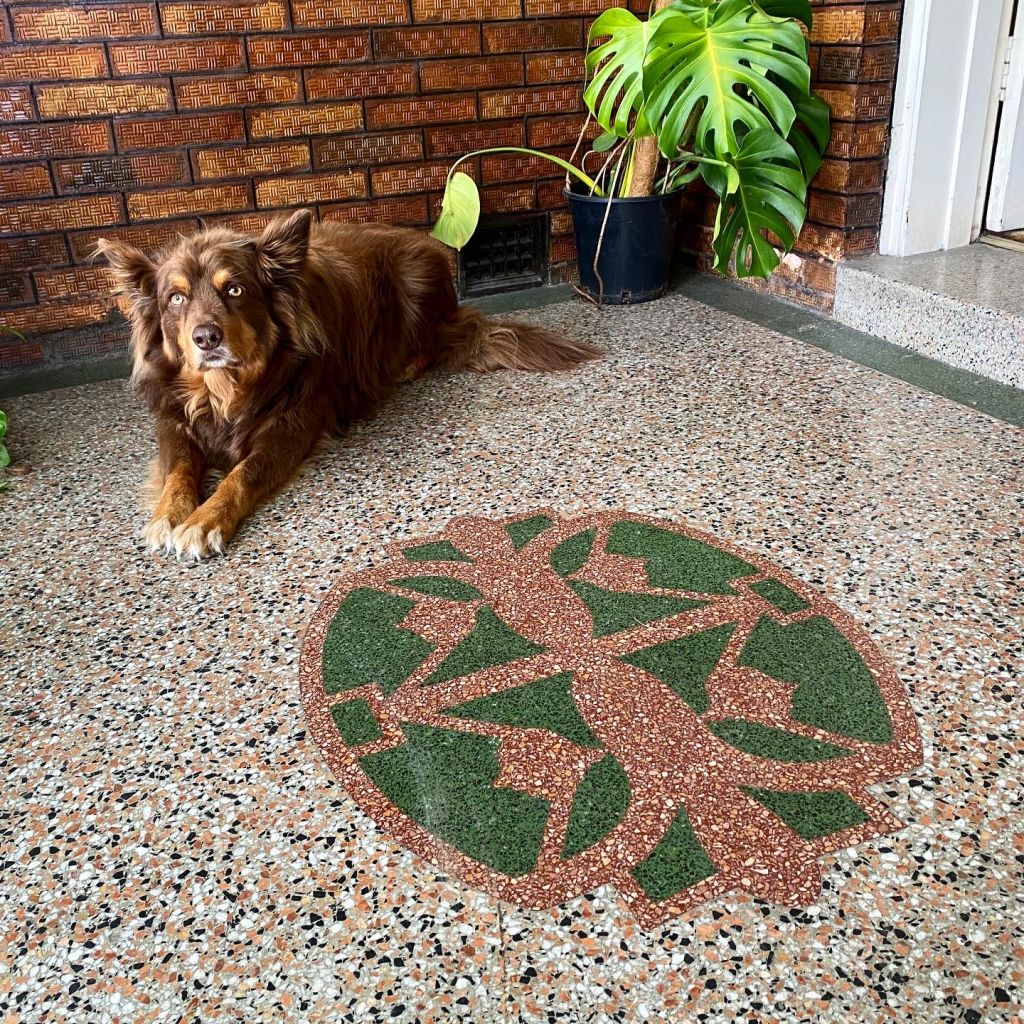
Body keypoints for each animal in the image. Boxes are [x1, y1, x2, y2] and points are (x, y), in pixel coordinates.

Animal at [96, 208, 598, 561]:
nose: (206, 338)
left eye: (235, 289)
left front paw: (205, 521)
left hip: (414, 283)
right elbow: (178, 469)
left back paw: (403, 367)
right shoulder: (173, 420)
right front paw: (169, 514)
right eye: (175, 298)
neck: (226, 388)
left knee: (430, 345)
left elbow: (243, 473)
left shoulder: (294, 422)